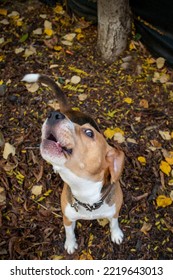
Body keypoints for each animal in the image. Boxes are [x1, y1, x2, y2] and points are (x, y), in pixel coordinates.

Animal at [22, 74, 124, 254]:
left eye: (89, 132)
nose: (53, 114)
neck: (87, 197)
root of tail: (67, 110)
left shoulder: (114, 211)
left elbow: (114, 223)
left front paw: (116, 234)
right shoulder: (67, 217)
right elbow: (69, 232)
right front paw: (70, 244)